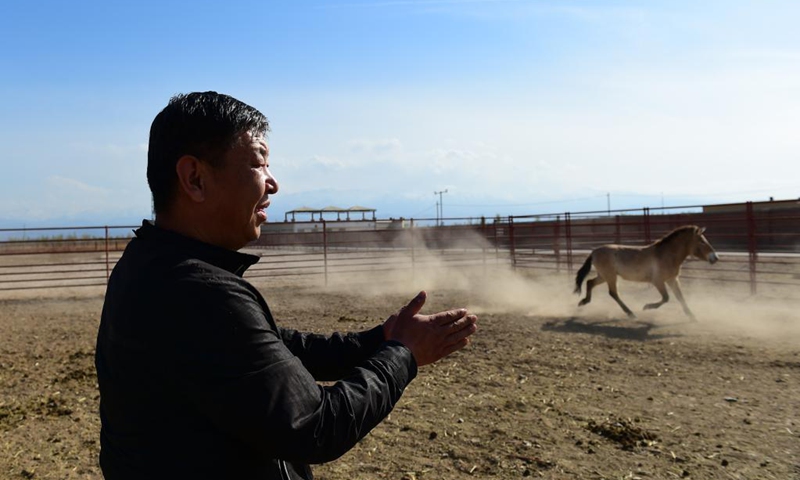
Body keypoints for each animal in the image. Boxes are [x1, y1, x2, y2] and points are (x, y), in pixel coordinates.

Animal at [576, 224, 720, 318]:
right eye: (701, 241)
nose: (715, 258)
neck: (666, 254)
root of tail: (594, 252)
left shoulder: (672, 279)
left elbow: (680, 297)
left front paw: (692, 316)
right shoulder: (658, 281)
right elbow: (666, 298)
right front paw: (647, 307)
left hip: (603, 276)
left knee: (590, 282)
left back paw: (583, 302)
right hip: (610, 276)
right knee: (613, 293)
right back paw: (630, 313)